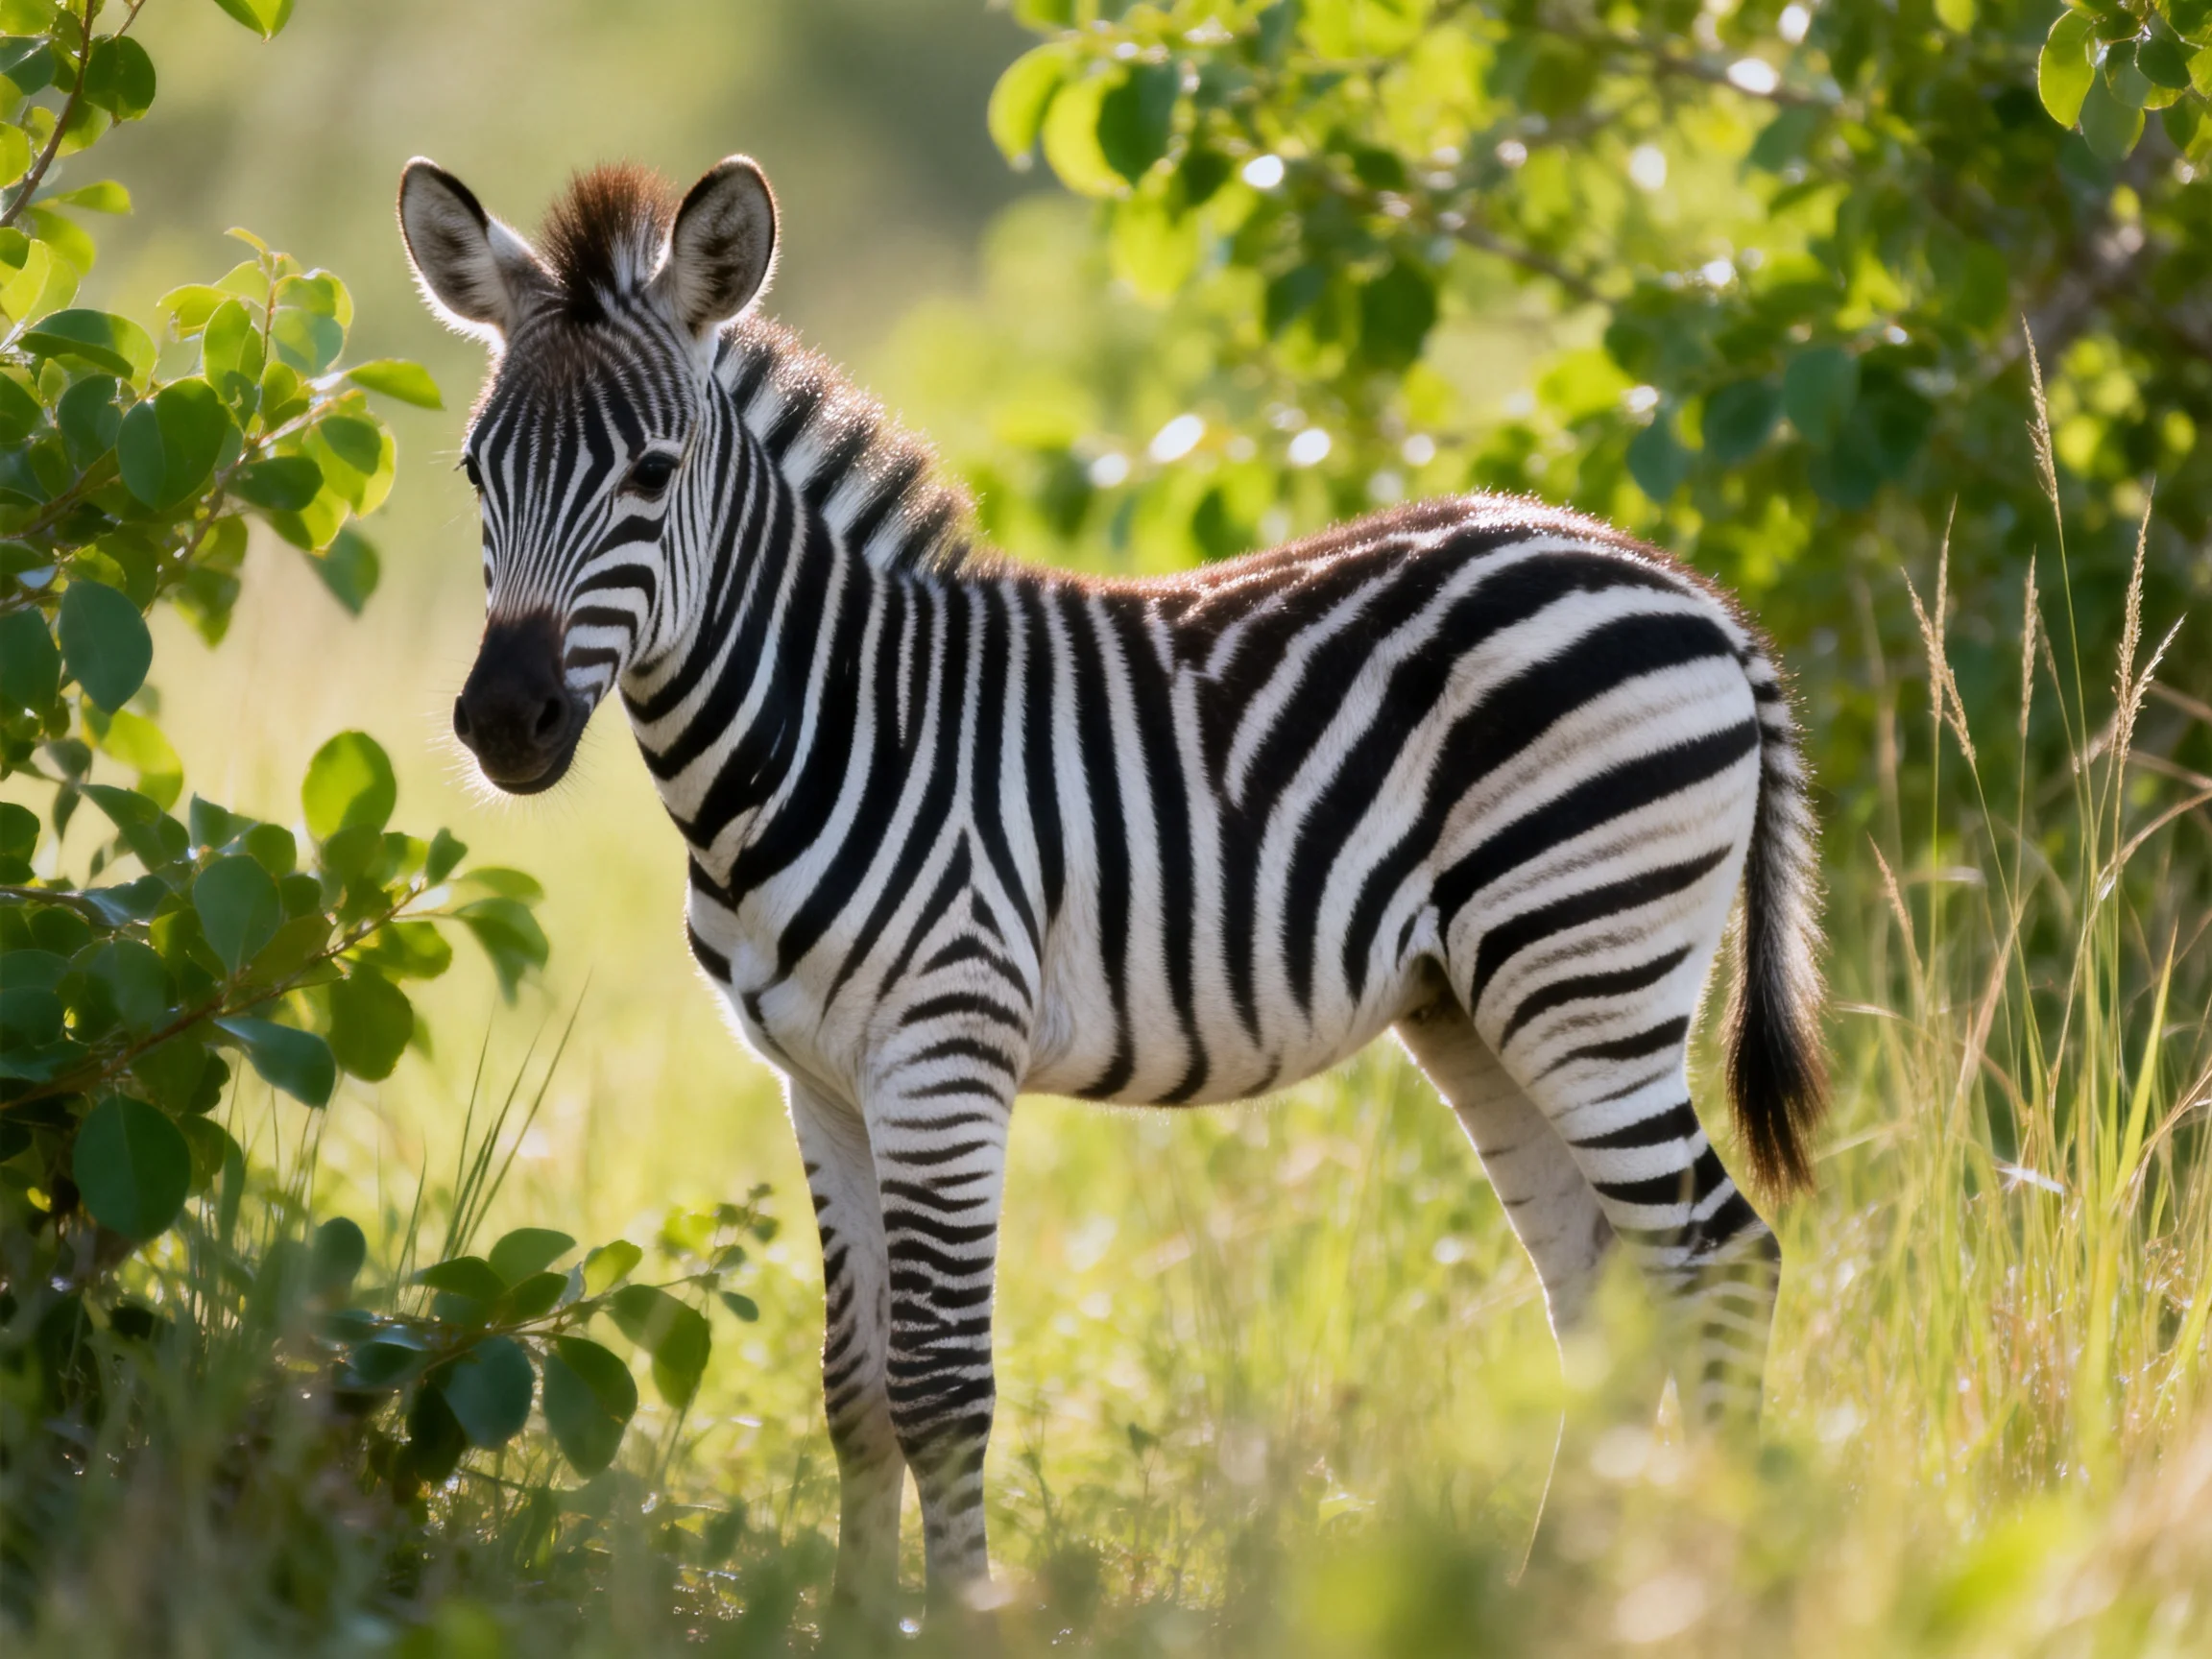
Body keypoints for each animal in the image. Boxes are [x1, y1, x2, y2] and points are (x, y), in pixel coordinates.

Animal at [398, 154, 1827, 1609]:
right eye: (474, 470)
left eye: (651, 472)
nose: (504, 721)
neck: (820, 728)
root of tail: (1698, 599)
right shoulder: (819, 1084)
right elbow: (853, 1394)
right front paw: (859, 1614)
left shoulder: (945, 1055)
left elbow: (938, 1392)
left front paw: (958, 1619)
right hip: (1477, 1005)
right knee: (1602, 1287)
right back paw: (1558, 1596)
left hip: (1587, 968)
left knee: (1720, 1257)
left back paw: (1736, 1582)